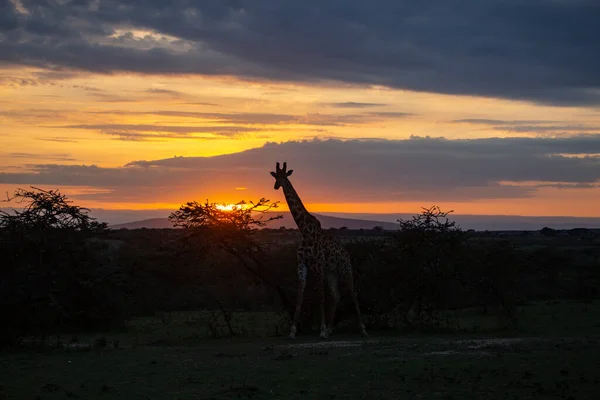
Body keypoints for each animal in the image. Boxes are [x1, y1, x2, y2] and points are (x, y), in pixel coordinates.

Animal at [270, 161, 368, 340]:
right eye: (275, 176)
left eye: (285, 176)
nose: (276, 186)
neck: (305, 231)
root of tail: (346, 253)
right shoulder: (302, 264)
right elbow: (300, 296)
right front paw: (293, 331)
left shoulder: (318, 265)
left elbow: (321, 296)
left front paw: (321, 330)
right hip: (332, 272)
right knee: (336, 295)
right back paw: (330, 329)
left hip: (345, 269)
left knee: (353, 292)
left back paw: (362, 329)